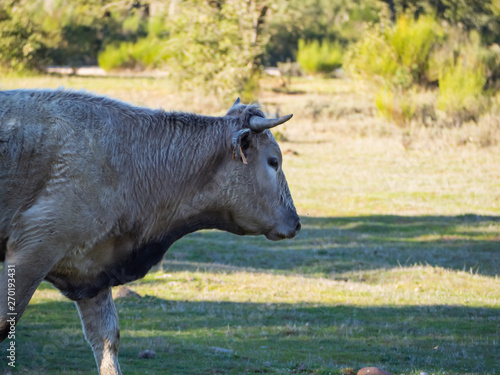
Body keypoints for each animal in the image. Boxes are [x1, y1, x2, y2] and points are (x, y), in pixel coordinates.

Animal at [0, 89, 300, 374]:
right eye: (273, 161)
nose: (296, 222)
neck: (129, 160)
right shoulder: (34, 250)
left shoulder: (90, 267)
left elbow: (107, 340)